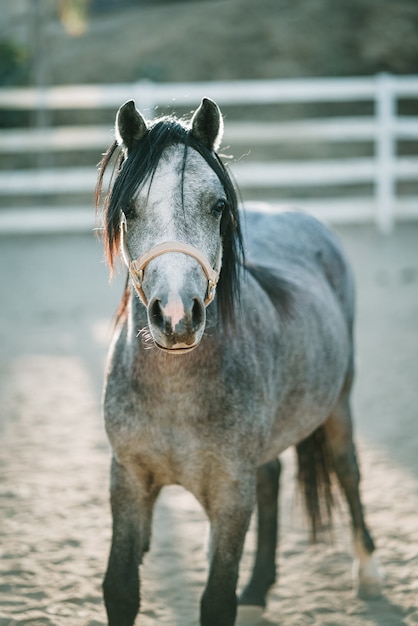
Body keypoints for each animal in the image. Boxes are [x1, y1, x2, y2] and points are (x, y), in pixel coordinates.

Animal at [94, 97, 382, 624]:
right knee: (271, 482)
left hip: (338, 406)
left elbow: (216, 599)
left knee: (347, 470)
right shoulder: (127, 480)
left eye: (218, 207)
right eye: (129, 208)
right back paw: (258, 587)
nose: (176, 315)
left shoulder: (231, 494)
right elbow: (121, 588)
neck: (176, 394)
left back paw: (368, 572)